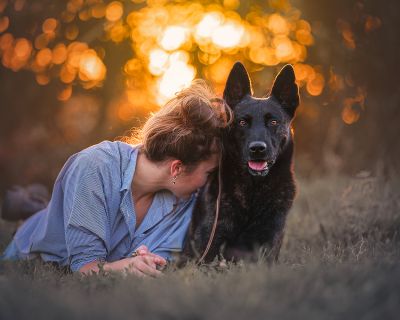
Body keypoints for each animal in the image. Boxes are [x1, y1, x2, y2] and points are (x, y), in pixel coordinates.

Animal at [183, 62, 298, 262]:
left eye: (273, 122)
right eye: (242, 122)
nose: (257, 149)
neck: (254, 191)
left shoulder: (268, 246)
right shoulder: (206, 250)